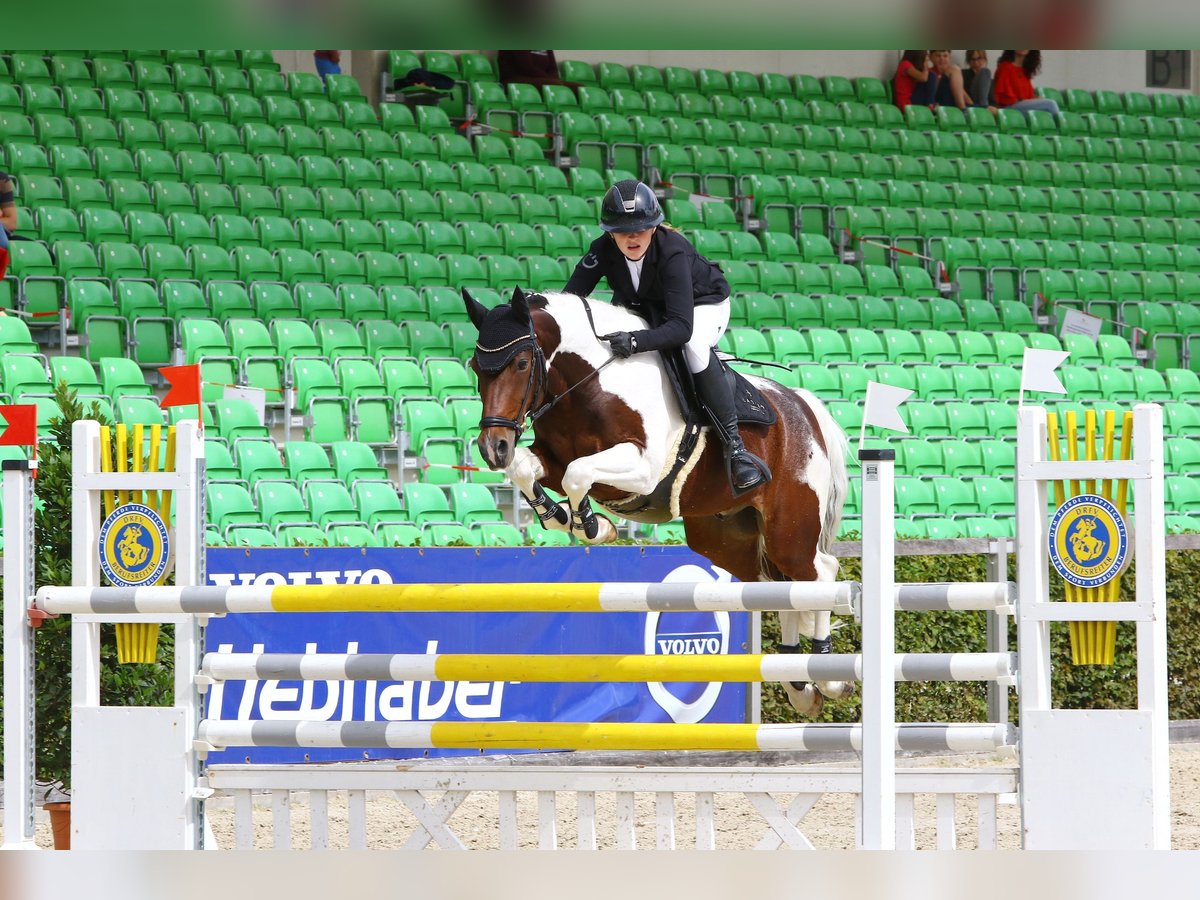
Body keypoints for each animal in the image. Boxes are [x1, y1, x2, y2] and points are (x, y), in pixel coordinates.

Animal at [465, 289, 854, 720]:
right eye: (475, 366)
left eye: (520, 363)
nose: (492, 448)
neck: (589, 382)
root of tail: (803, 406)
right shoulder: (553, 458)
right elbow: (526, 468)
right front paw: (564, 518)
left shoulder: (642, 469)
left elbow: (577, 475)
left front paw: (591, 524)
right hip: (726, 540)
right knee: (779, 586)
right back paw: (799, 685)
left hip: (789, 528)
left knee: (818, 572)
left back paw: (829, 678)